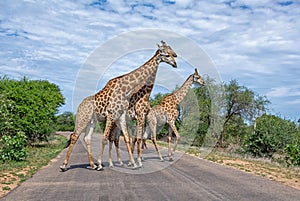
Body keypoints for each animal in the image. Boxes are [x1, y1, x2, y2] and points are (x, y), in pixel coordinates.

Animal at [59, 40, 177, 171]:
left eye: (172, 51)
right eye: (166, 54)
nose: (175, 62)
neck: (125, 88)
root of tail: (79, 106)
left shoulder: (121, 116)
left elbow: (127, 138)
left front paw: (134, 163)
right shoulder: (113, 114)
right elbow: (105, 138)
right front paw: (101, 164)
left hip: (92, 121)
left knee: (87, 138)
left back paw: (92, 164)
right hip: (83, 118)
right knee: (75, 136)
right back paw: (64, 165)